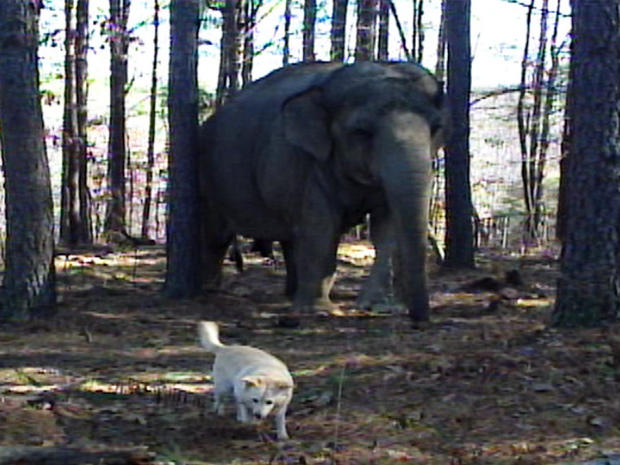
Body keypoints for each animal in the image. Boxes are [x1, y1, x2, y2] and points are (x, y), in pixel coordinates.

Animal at [201, 60, 448, 322]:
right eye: (362, 132)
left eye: (436, 128)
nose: (418, 320)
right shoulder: (304, 161)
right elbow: (321, 226)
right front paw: (319, 311)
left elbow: (386, 227)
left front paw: (379, 306)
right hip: (209, 178)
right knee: (216, 236)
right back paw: (210, 289)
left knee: (290, 237)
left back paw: (291, 294)